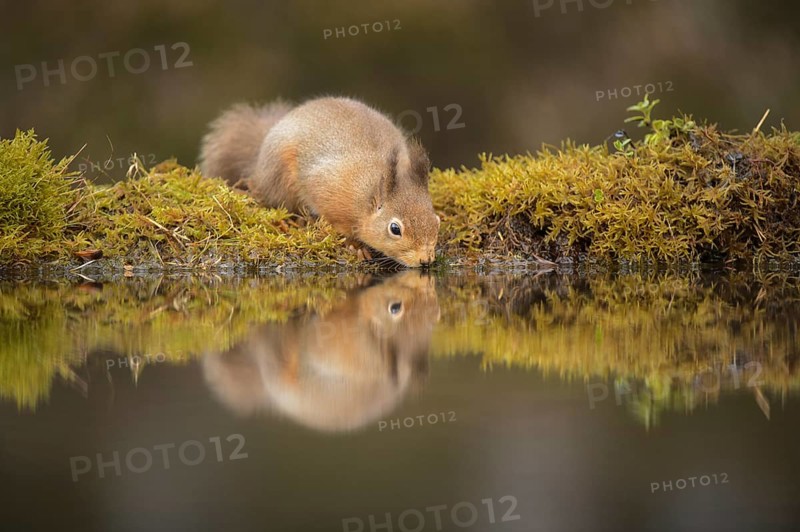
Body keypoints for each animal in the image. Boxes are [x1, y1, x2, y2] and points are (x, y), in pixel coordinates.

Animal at [199, 96, 440, 267]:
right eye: (394, 229)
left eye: (436, 221)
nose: (425, 261)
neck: (365, 194)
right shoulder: (327, 189)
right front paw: (354, 246)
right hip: (280, 179)